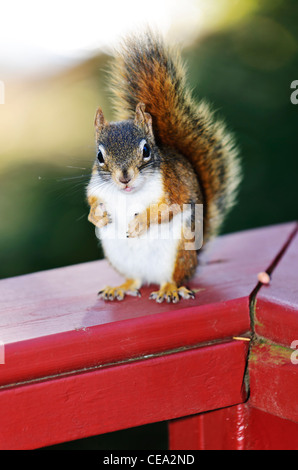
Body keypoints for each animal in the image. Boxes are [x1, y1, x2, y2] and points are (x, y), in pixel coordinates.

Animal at [85, 34, 240, 304]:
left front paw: (139, 223)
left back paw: (168, 290)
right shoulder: (96, 189)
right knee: (134, 280)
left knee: (172, 277)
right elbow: (91, 205)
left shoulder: (173, 187)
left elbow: (169, 208)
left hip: (180, 251)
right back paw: (120, 287)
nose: (124, 178)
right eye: (100, 156)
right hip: (120, 259)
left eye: (146, 150)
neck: (129, 194)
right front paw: (98, 216)